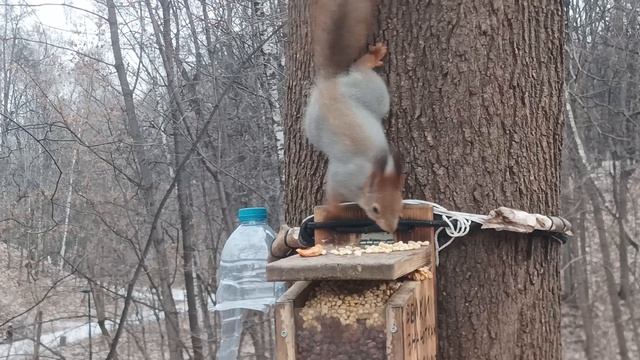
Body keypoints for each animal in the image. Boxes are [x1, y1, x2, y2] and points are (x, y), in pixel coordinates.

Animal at [304, 0, 404, 233]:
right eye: (375, 209)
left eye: (400, 205)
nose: (391, 228)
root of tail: (331, 83)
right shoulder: (341, 177)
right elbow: (333, 195)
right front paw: (332, 211)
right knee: (359, 68)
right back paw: (371, 58)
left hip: (371, 95)